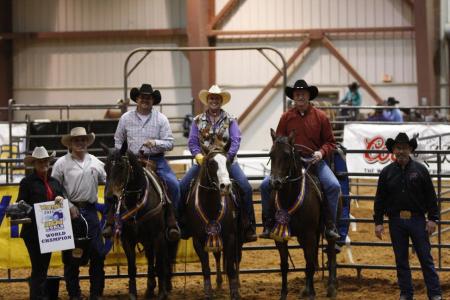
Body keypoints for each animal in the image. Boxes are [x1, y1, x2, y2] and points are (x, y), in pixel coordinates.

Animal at [103, 144, 177, 300]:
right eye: (105, 167)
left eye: (121, 166)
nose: (110, 198)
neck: (136, 200)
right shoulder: (127, 239)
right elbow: (132, 267)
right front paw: (133, 293)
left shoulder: (158, 236)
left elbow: (159, 263)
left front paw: (162, 293)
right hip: (146, 240)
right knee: (150, 258)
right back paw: (150, 289)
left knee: (163, 259)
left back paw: (163, 287)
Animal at [185, 146, 244, 298]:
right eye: (211, 163)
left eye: (227, 162)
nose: (225, 186)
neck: (211, 204)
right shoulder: (198, 240)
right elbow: (205, 267)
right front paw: (208, 293)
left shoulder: (230, 237)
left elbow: (230, 267)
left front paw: (234, 293)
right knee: (218, 256)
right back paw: (218, 282)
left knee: (236, 258)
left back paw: (237, 283)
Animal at [268, 129, 338, 300]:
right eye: (271, 154)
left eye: (287, 155)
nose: (275, 183)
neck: (289, 197)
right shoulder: (280, 237)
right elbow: (285, 265)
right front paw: (283, 294)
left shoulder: (309, 235)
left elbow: (310, 264)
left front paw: (312, 294)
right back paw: (306, 289)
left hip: (327, 229)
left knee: (331, 252)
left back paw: (331, 287)